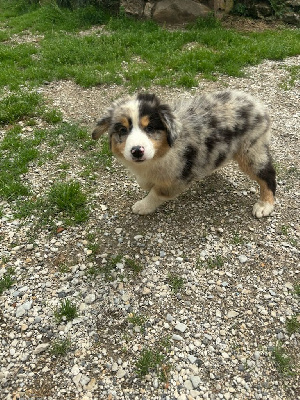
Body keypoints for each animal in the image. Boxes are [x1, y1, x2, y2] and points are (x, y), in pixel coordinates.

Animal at [92, 90, 276, 217]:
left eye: (150, 128)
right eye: (123, 130)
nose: (137, 151)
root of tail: (256, 103)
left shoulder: (179, 177)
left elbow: (157, 192)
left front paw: (143, 206)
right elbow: (145, 183)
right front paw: (146, 184)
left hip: (251, 149)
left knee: (268, 174)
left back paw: (264, 205)